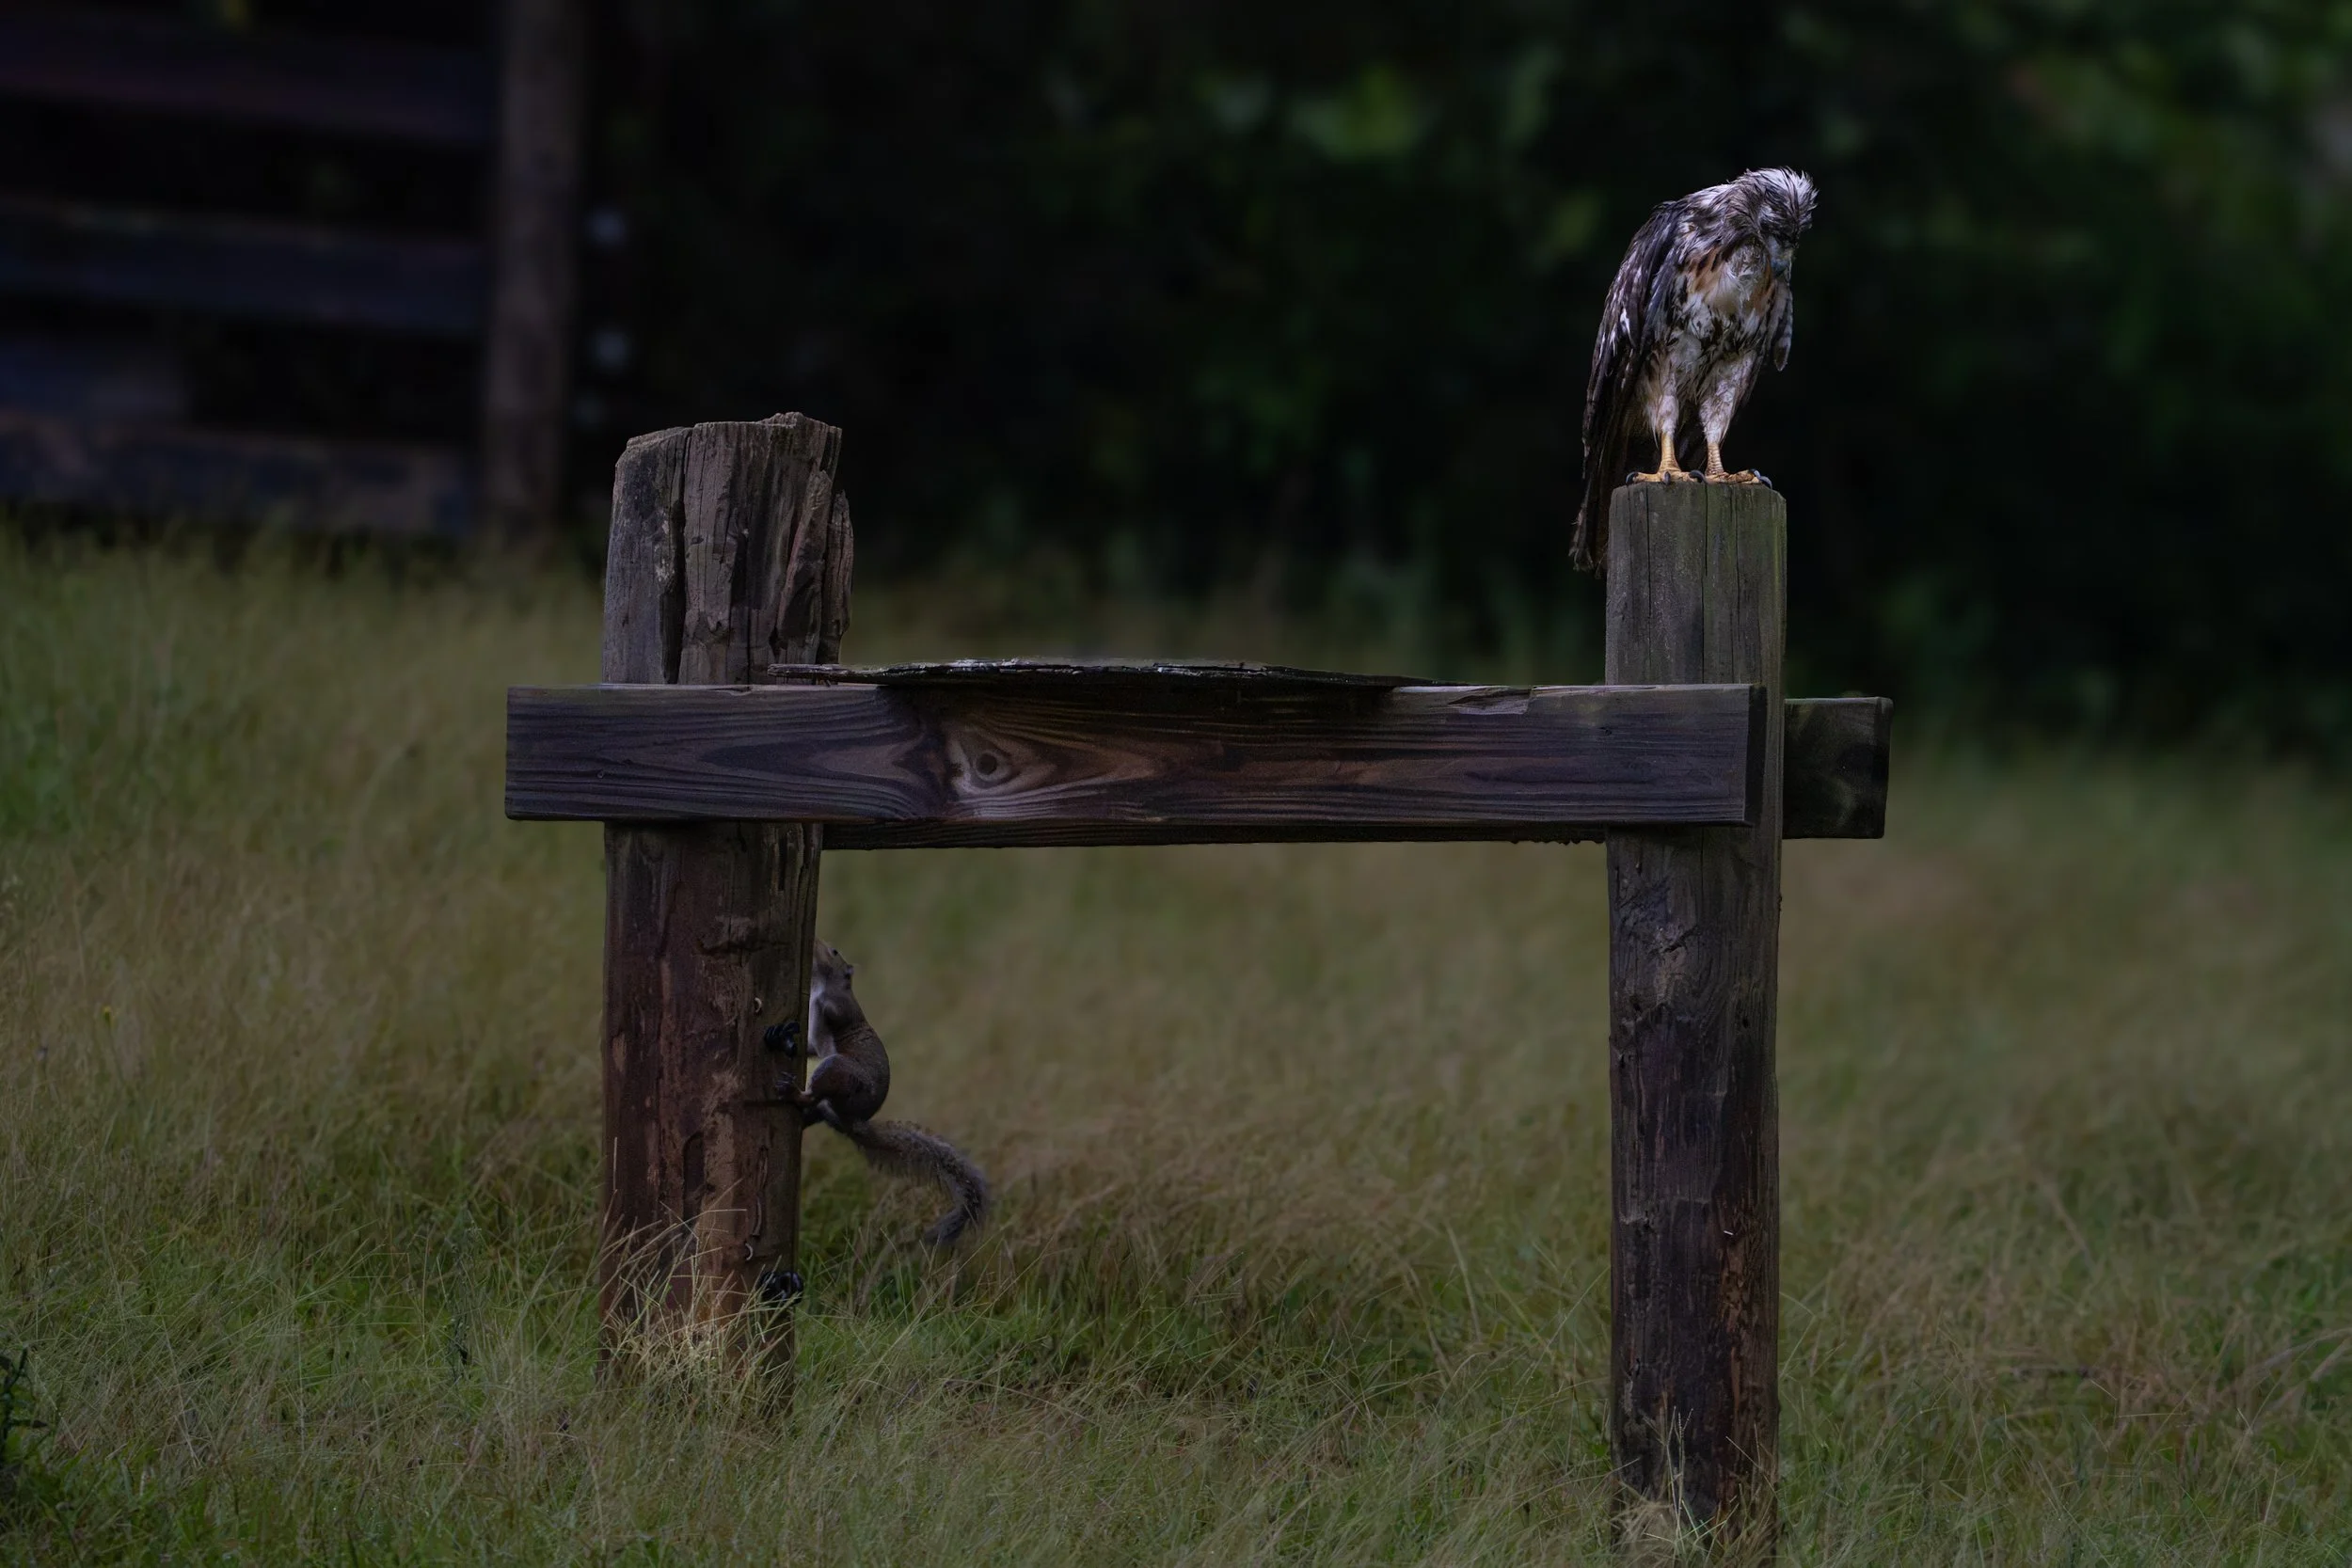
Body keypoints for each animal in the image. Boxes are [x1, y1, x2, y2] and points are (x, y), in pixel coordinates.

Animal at [772, 941, 990, 1248]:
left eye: (835, 952)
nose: (817, 944)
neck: (821, 987)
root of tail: (854, 1121)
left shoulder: (843, 1009)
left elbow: (836, 1014)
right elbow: (812, 1047)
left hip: (840, 1072)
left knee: (813, 1095)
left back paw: (793, 1092)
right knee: (815, 1107)